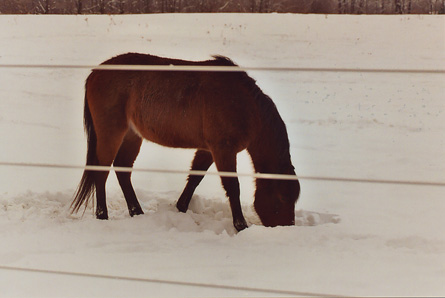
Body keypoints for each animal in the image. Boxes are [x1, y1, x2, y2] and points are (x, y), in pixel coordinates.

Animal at [70, 52, 298, 232]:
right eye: (281, 199)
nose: (287, 228)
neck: (246, 106)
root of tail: (95, 73)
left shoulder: (208, 150)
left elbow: (195, 177)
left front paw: (180, 208)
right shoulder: (223, 149)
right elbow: (233, 187)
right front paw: (240, 226)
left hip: (131, 136)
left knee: (123, 170)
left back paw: (137, 212)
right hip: (111, 133)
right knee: (101, 171)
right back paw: (102, 215)